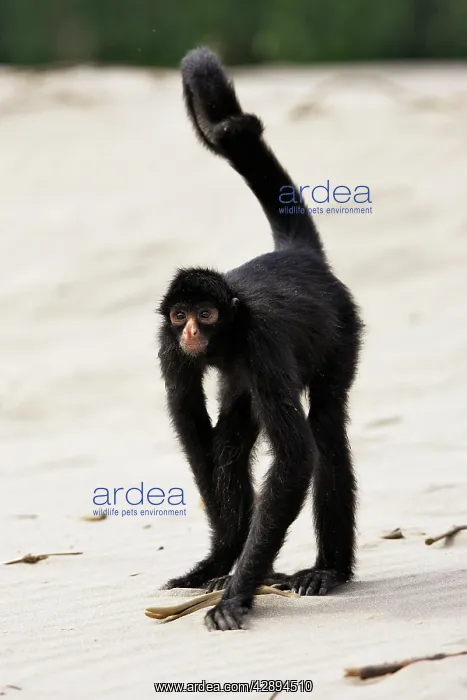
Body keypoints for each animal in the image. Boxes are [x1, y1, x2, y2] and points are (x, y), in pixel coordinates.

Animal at [157, 47, 363, 631]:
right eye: (180, 314)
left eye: (206, 313)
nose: (191, 330)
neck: (227, 334)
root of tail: (297, 255)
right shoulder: (168, 346)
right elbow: (191, 423)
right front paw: (221, 561)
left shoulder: (262, 345)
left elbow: (296, 457)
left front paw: (236, 593)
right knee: (231, 435)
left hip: (343, 330)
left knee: (325, 425)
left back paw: (328, 570)